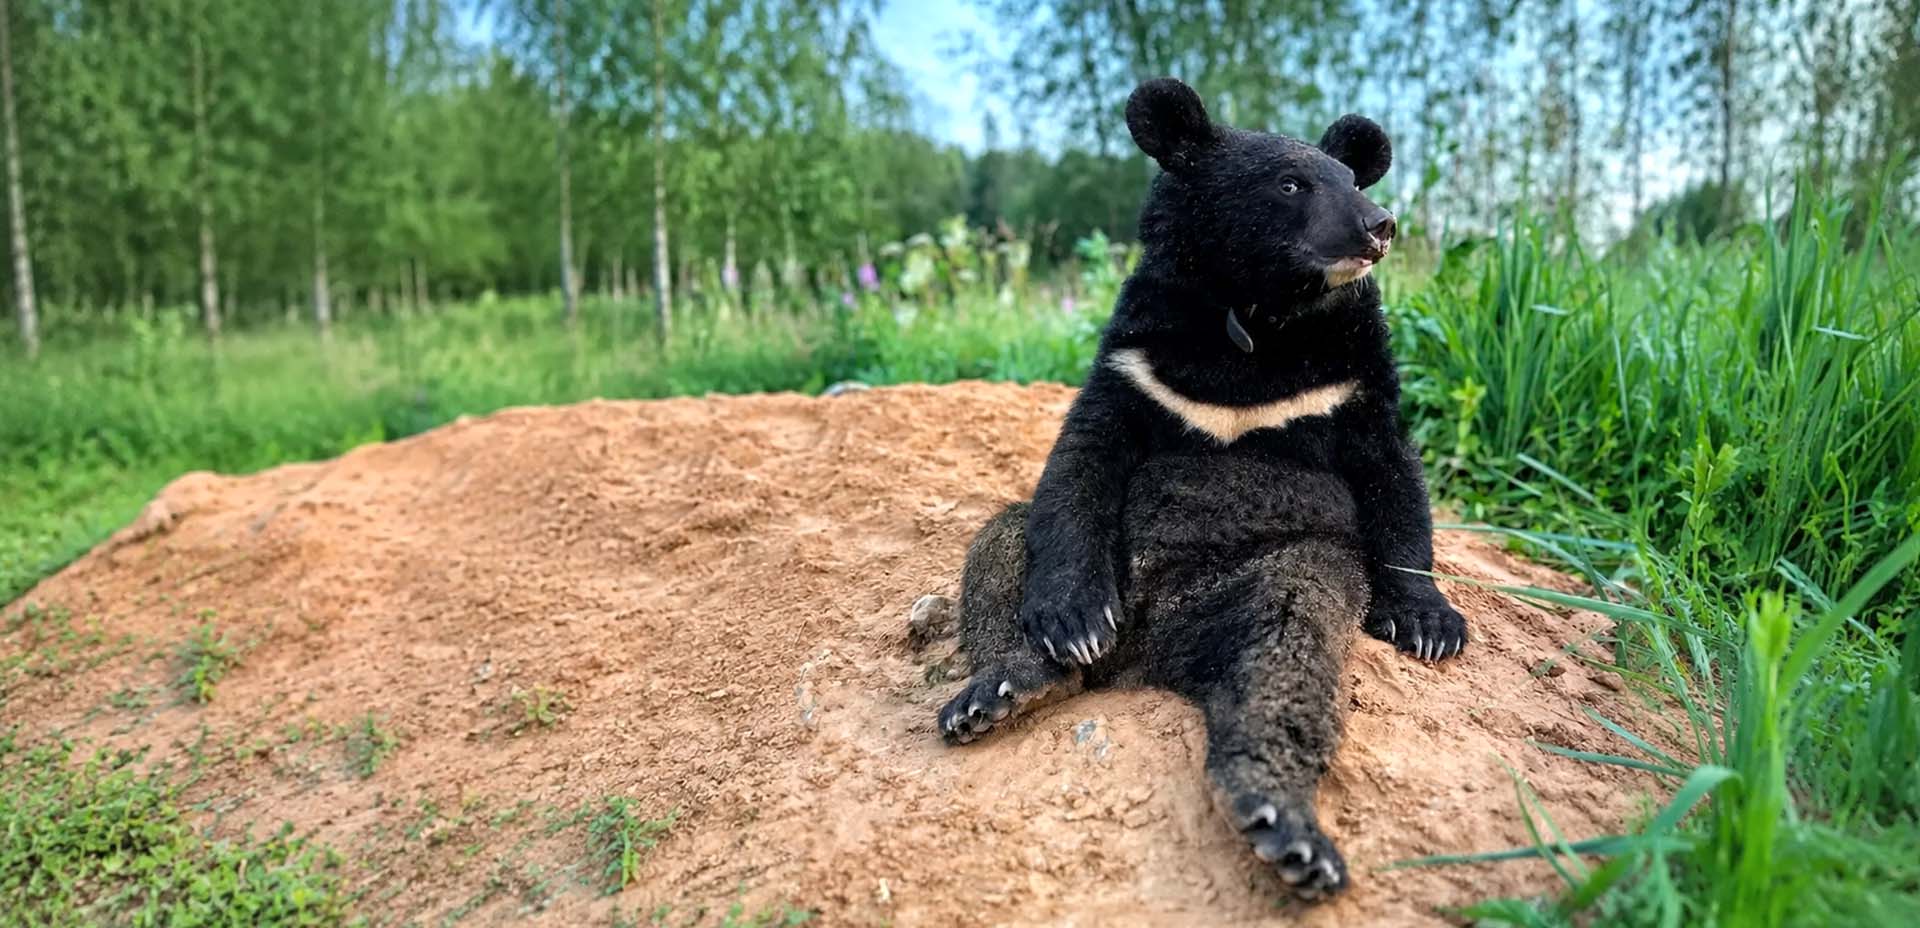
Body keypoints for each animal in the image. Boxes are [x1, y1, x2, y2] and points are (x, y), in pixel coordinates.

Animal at [934, 77, 1469, 901]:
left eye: (1351, 180)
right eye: (1291, 184)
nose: (1379, 227)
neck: (1255, 316)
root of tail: (1144, 658)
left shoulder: (1353, 377)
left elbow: (1393, 473)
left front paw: (1430, 625)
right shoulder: (1137, 355)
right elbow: (1082, 458)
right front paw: (1073, 619)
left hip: (1279, 575)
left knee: (1285, 656)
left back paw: (1287, 828)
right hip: (1064, 562)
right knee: (1002, 546)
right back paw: (1003, 688)